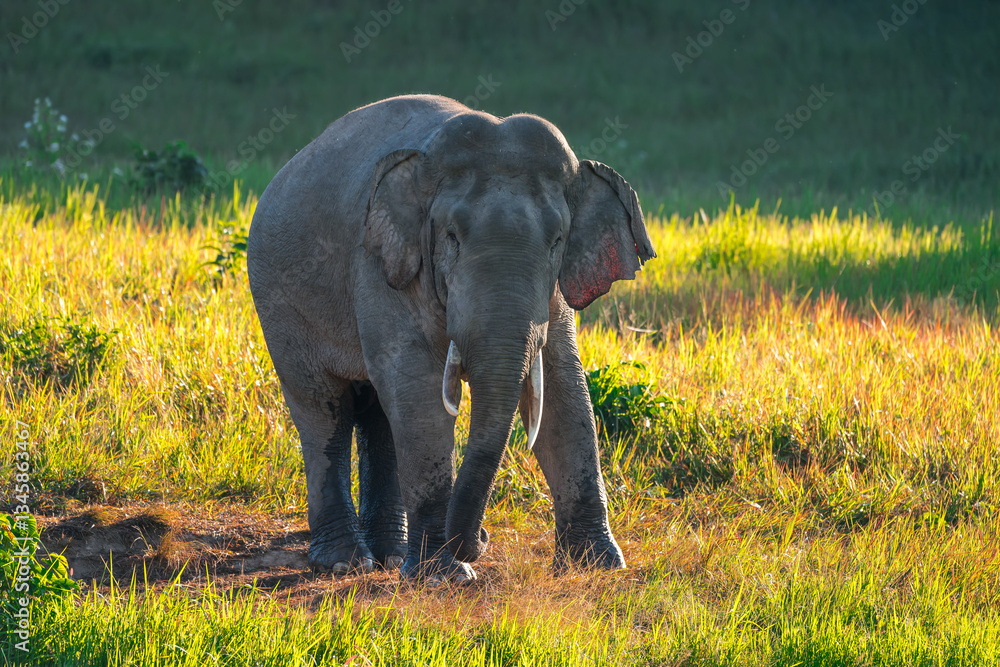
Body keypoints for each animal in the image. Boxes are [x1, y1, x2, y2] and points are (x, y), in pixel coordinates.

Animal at [247, 94, 655, 582]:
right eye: (452, 238)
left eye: (558, 240)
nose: (481, 540)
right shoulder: (383, 262)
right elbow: (419, 390)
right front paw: (446, 576)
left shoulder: (552, 291)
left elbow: (563, 386)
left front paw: (599, 565)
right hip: (279, 304)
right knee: (324, 409)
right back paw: (347, 561)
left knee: (379, 413)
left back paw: (390, 555)